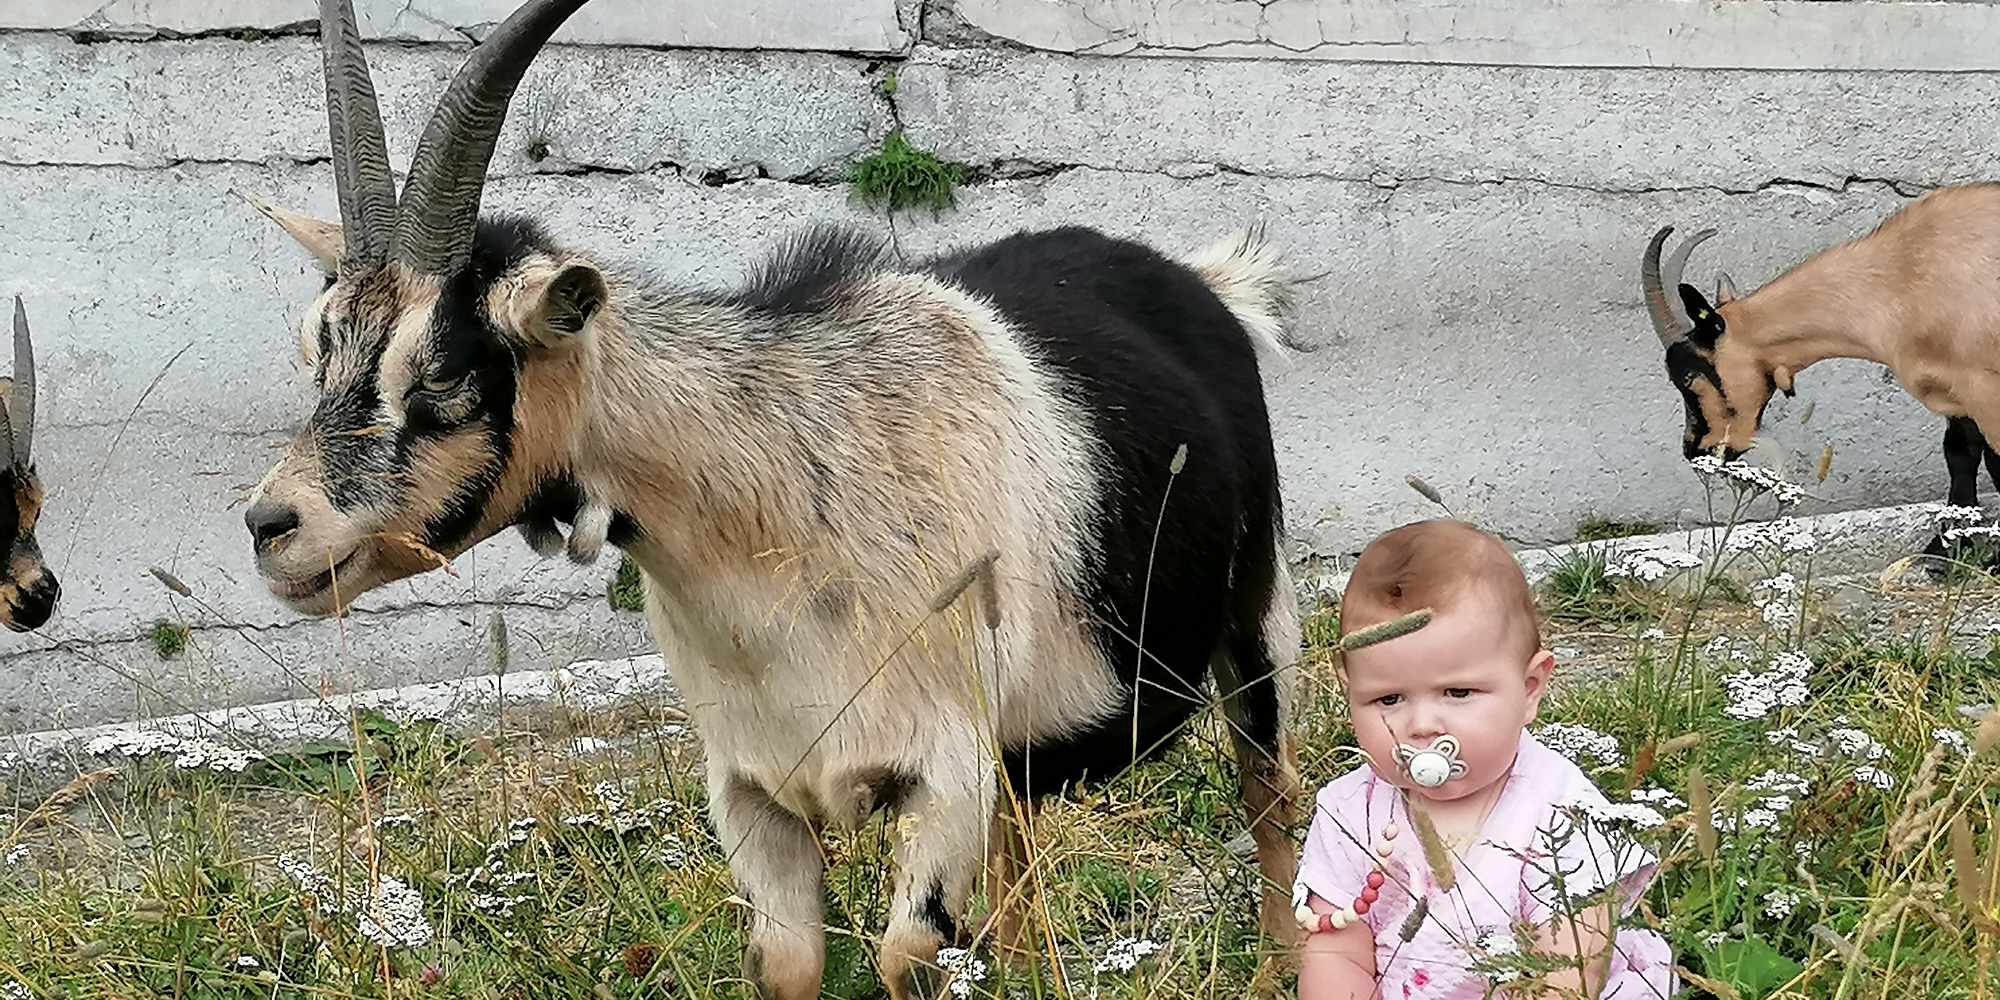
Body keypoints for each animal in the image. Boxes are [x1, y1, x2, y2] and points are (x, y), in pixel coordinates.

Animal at [238, 3, 1296, 996]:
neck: (779, 505)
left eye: (444, 376)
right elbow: (787, 960)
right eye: (318, 347)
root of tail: (1202, 284)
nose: (269, 527)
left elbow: (910, 957)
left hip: (1257, 620)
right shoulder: (751, 790)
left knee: (1270, 790)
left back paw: (1276, 964)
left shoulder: (943, 778)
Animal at [1640, 184, 2000, 560]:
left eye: (1686, 377)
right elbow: (1961, 456)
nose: (1694, 450)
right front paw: (1945, 551)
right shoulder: (1956, 397)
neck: (1900, 278)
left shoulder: (1985, 390)